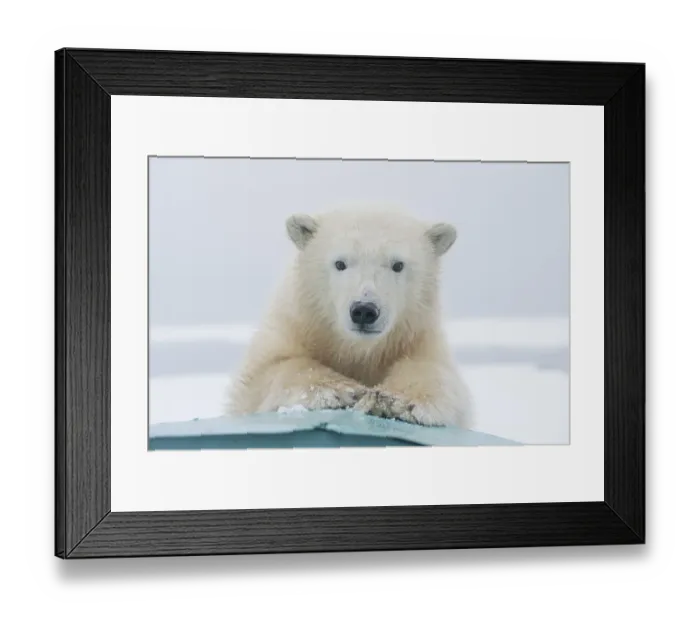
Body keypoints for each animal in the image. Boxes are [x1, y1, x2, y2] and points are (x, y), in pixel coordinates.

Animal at [227, 207, 470, 428]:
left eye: (398, 265)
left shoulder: (417, 338)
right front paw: (343, 390)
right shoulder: (293, 325)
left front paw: (393, 400)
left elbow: (434, 373)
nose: (364, 310)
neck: (357, 350)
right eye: (340, 263)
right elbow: (266, 372)